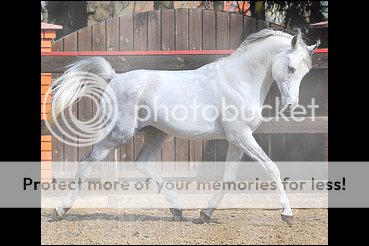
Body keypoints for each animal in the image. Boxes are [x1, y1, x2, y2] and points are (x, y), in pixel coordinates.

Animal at [49, 27, 320, 224]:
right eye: (291, 68)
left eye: (305, 72)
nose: (291, 106)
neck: (238, 80)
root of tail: (114, 78)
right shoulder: (241, 136)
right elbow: (272, 168)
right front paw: (287, 214)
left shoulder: (237, 140)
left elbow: (229, 177)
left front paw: (205, 214)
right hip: (117, 134)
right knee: (87, 163)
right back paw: (59, 211)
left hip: (156, 134)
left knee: (143, 164)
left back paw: (177, 209)